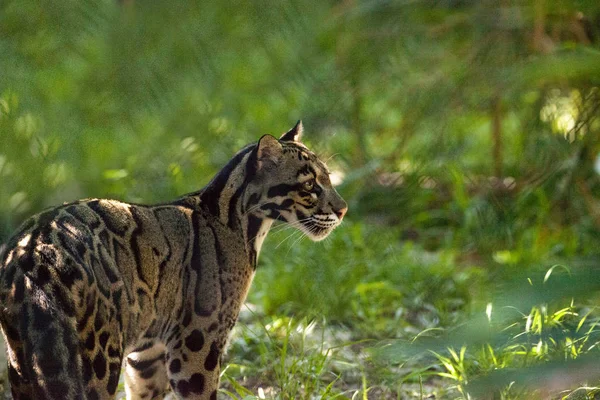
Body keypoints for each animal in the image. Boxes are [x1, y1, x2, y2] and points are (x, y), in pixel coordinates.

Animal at [0, 122, 346, 400]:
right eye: (310, 185)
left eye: (328, 178)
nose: (342, 210)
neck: (241, 222)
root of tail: (32, 247)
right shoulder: (197, 343)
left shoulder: (147, 356)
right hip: (97, 357)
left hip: (25, 360)